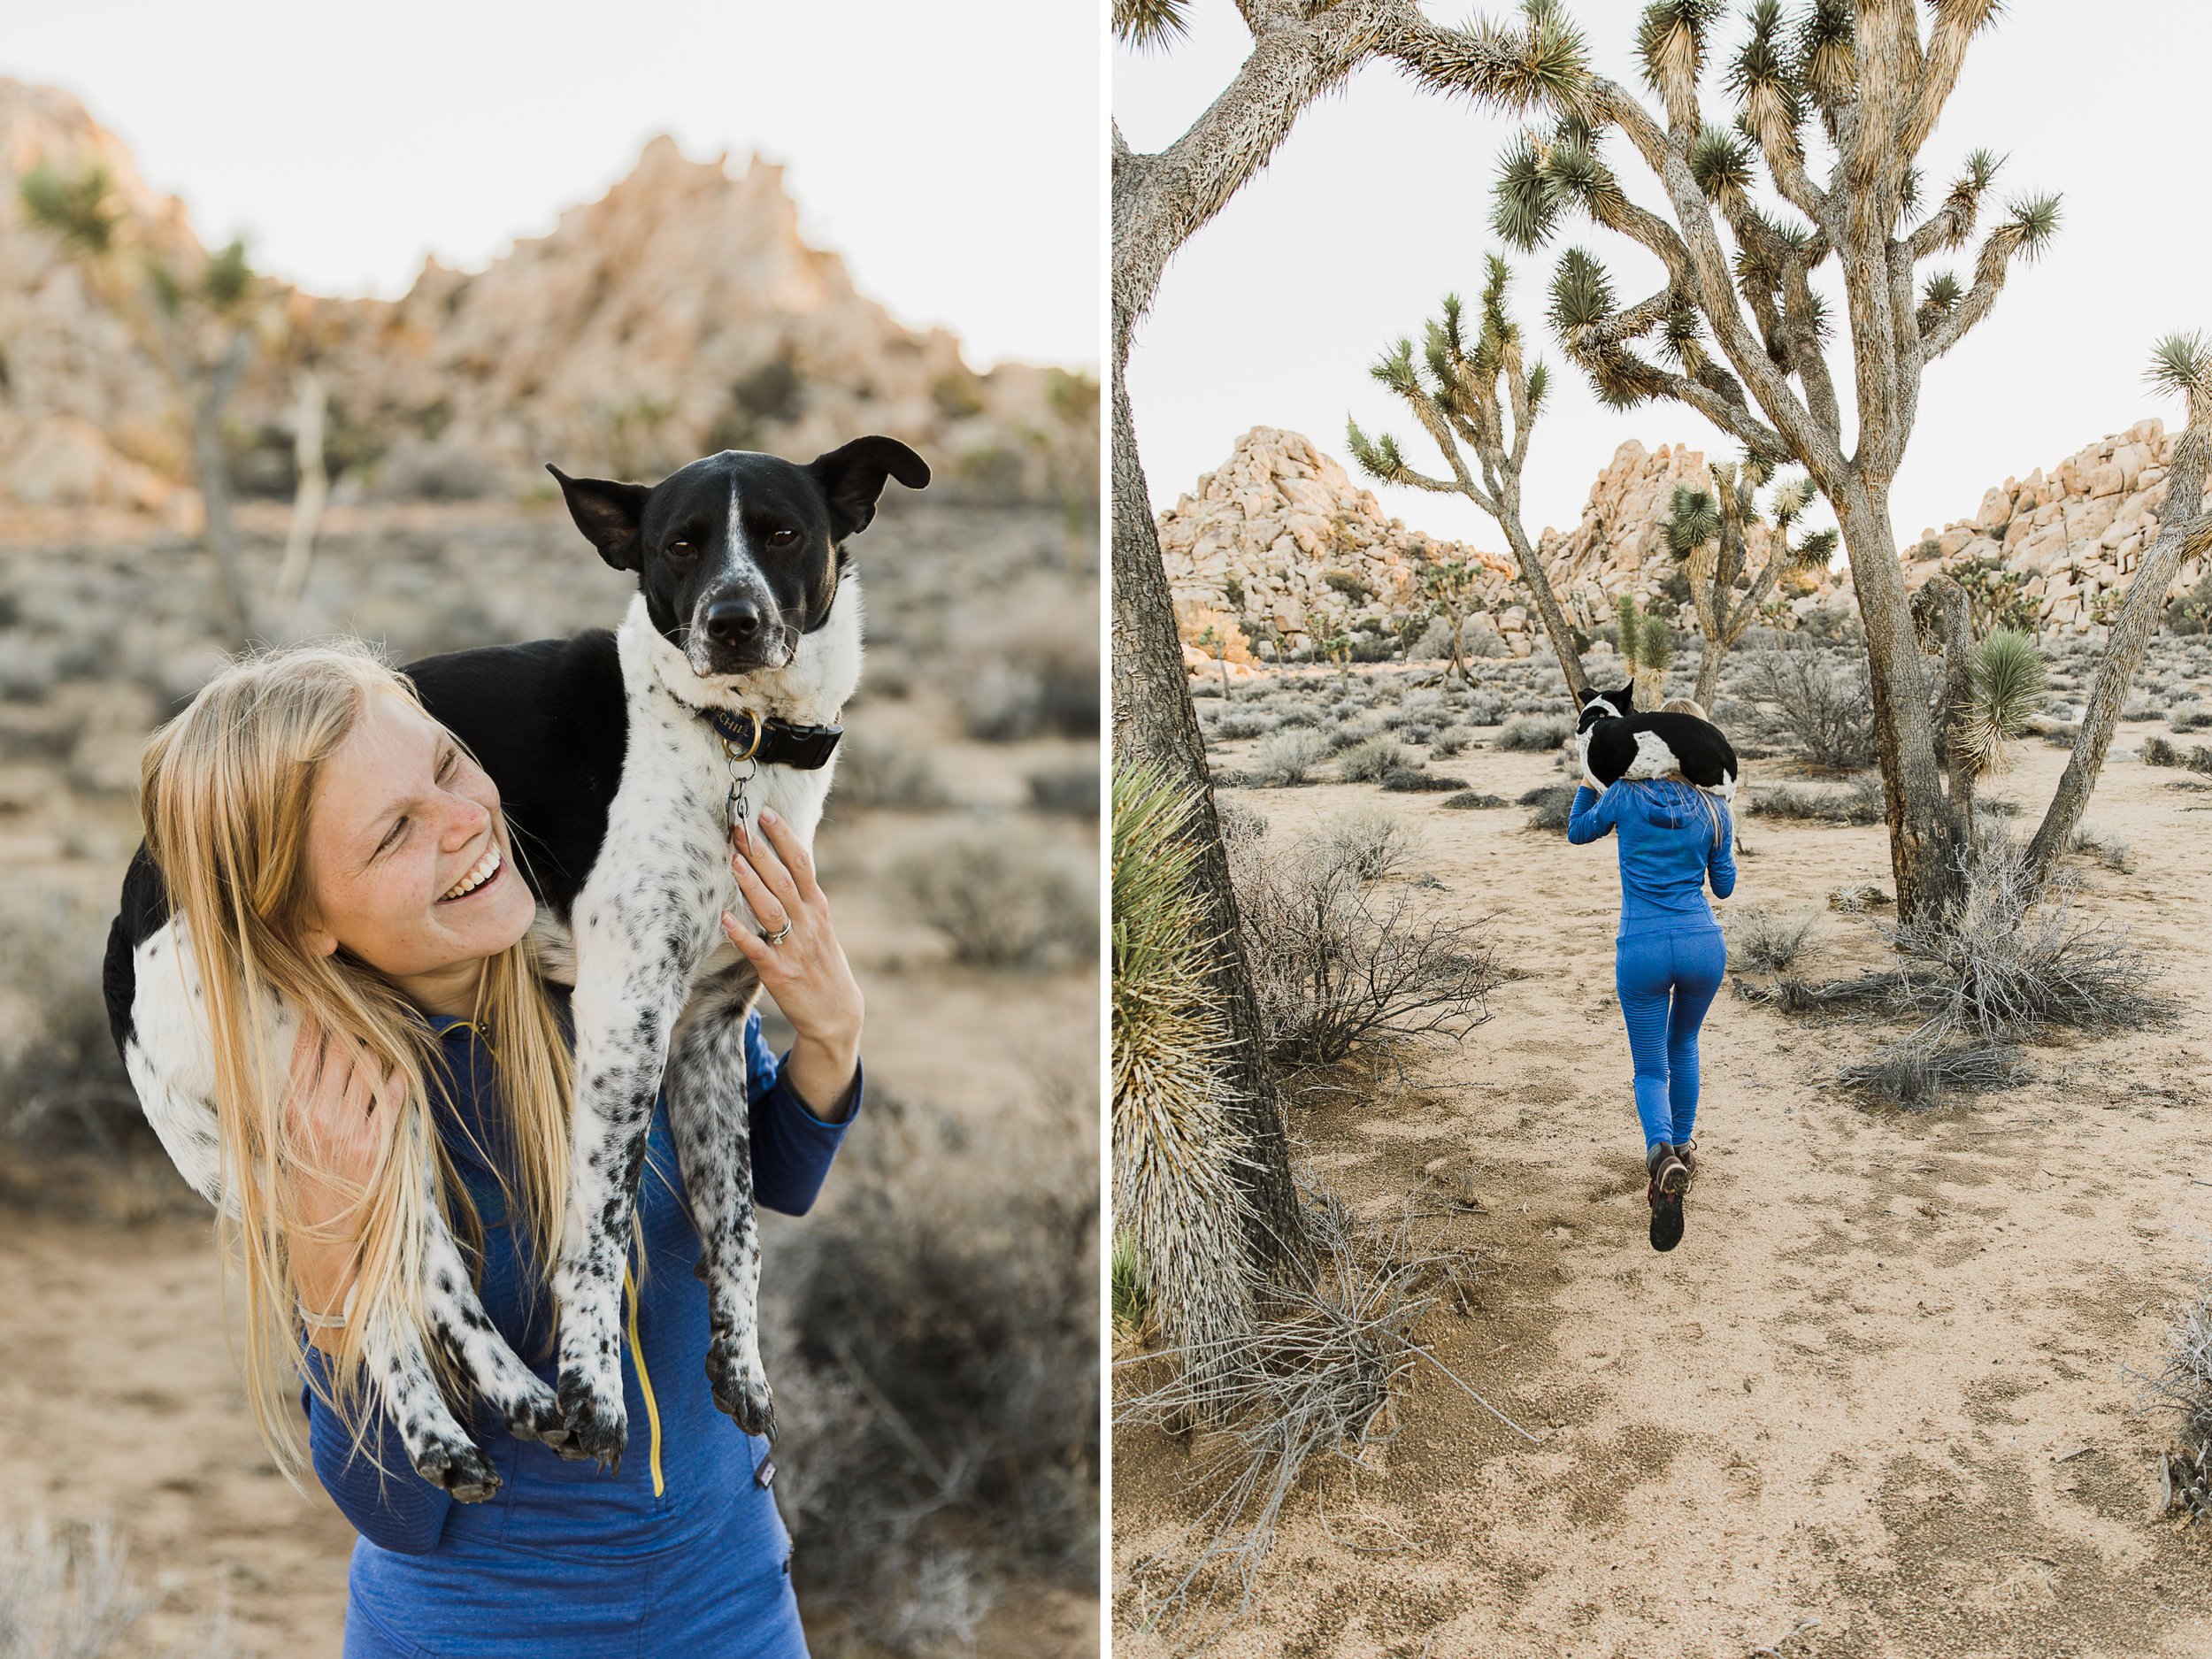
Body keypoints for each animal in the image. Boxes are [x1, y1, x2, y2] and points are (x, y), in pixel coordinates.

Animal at [104, 435, 929, 1504]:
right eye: (680, 544)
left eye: (784, 533)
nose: (733, 622)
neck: (727, 738)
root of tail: (136, 900)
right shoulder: (625, 1015)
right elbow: (599, 1229)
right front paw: (595, 1387)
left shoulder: (707, 1027)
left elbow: (738, 1226)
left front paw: (740, 1366)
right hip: (349, 1109)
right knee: (413, 1285)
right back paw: (495, 1413)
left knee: (398, 1286)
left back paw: (477, 1424)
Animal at [1575, 677, 1743, 801]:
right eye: (1632, 704)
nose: (1639, 711)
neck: (1596, 716)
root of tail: (1722, 743)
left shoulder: (1604, 787)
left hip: (1709, 784)